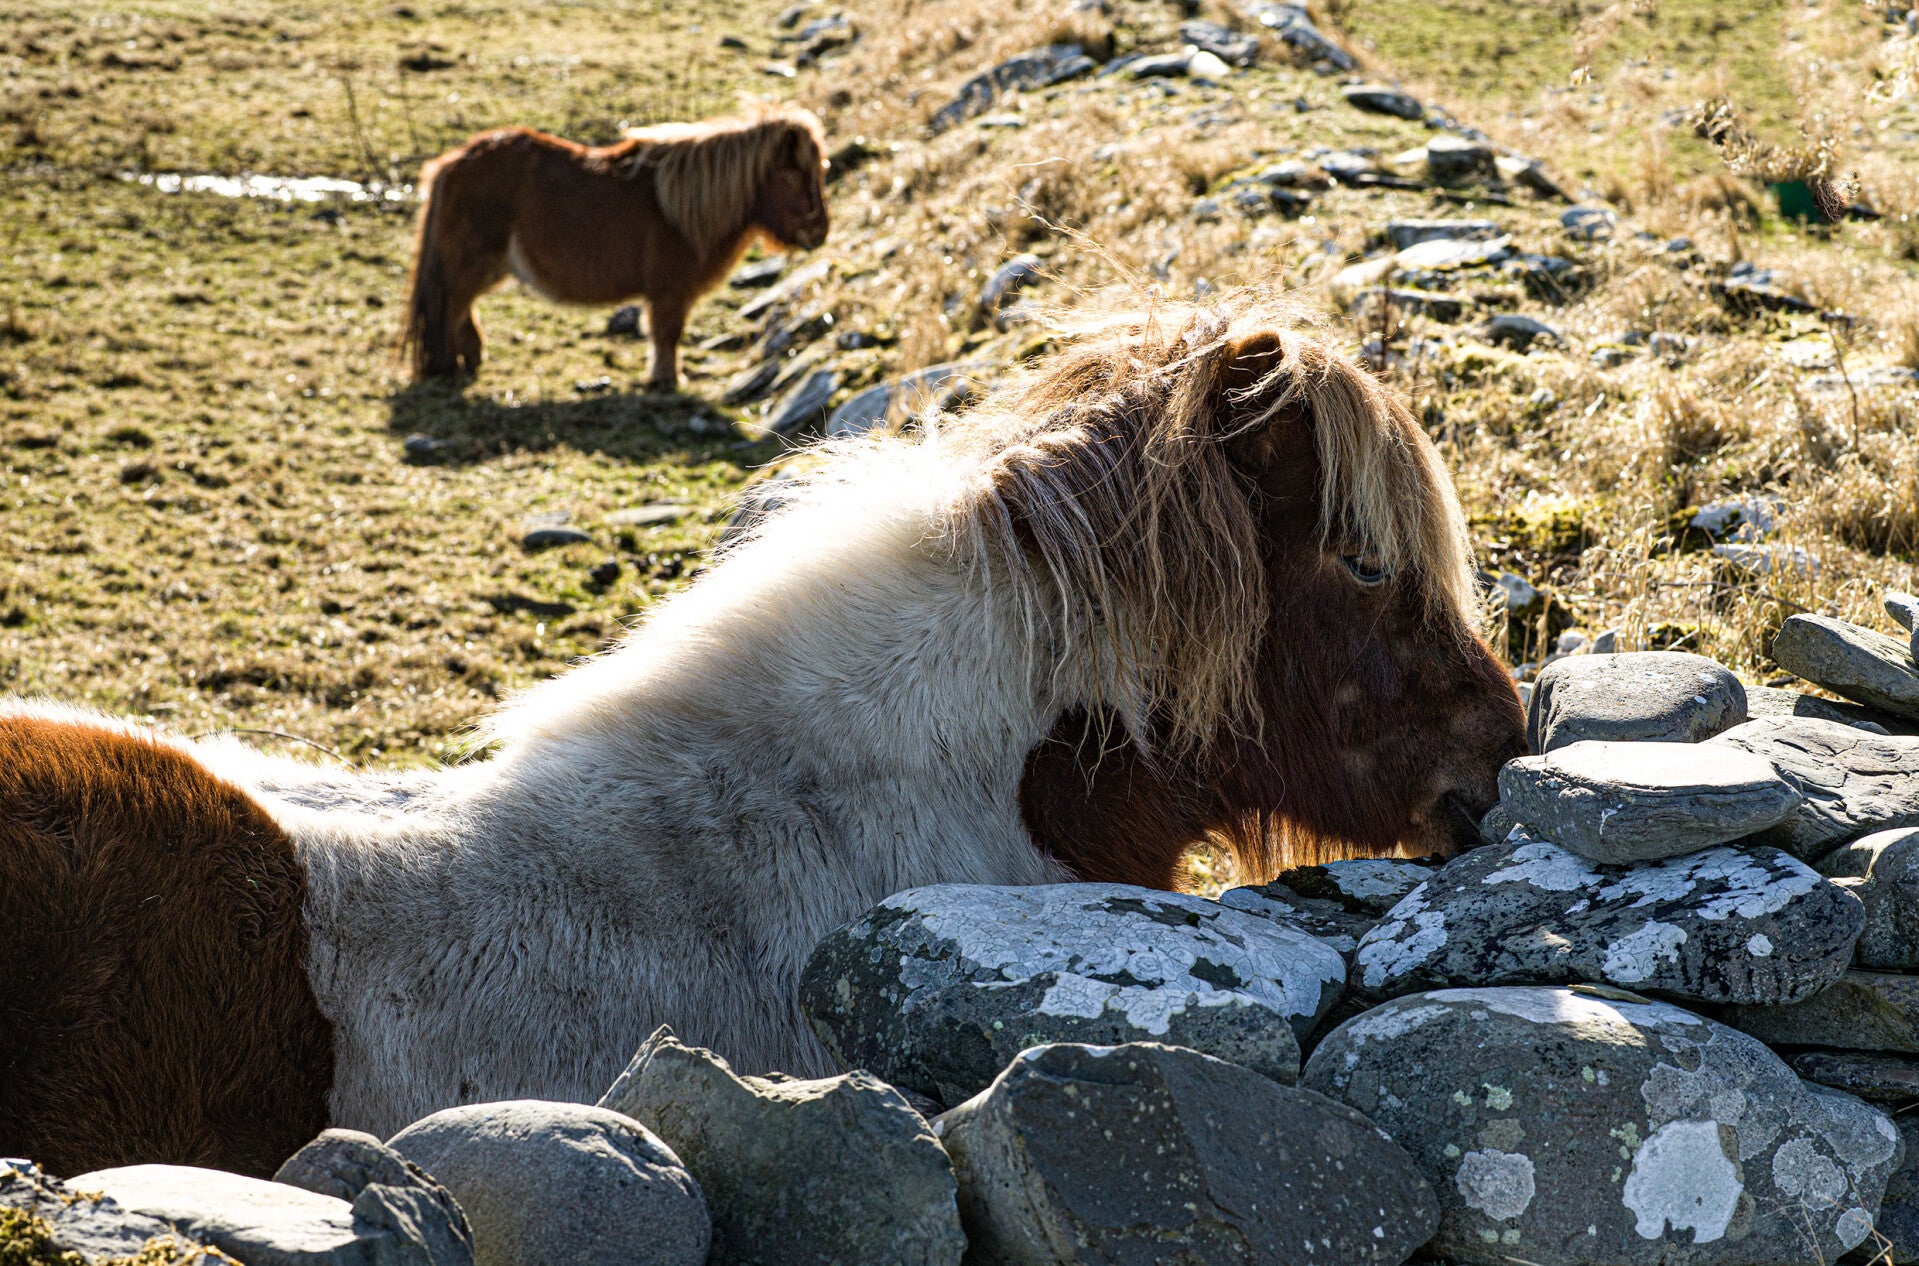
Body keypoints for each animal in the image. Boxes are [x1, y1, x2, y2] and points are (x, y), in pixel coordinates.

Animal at [400, 103, 829, 386]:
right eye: (792, 175)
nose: (819, 232)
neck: (684, 207)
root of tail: (451, 162)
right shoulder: (669, 293)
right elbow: (666, 334)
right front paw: (667, 381)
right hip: (472, 266)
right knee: (451, 307)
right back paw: (450, 369)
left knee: (461, 308)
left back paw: (470, 361)